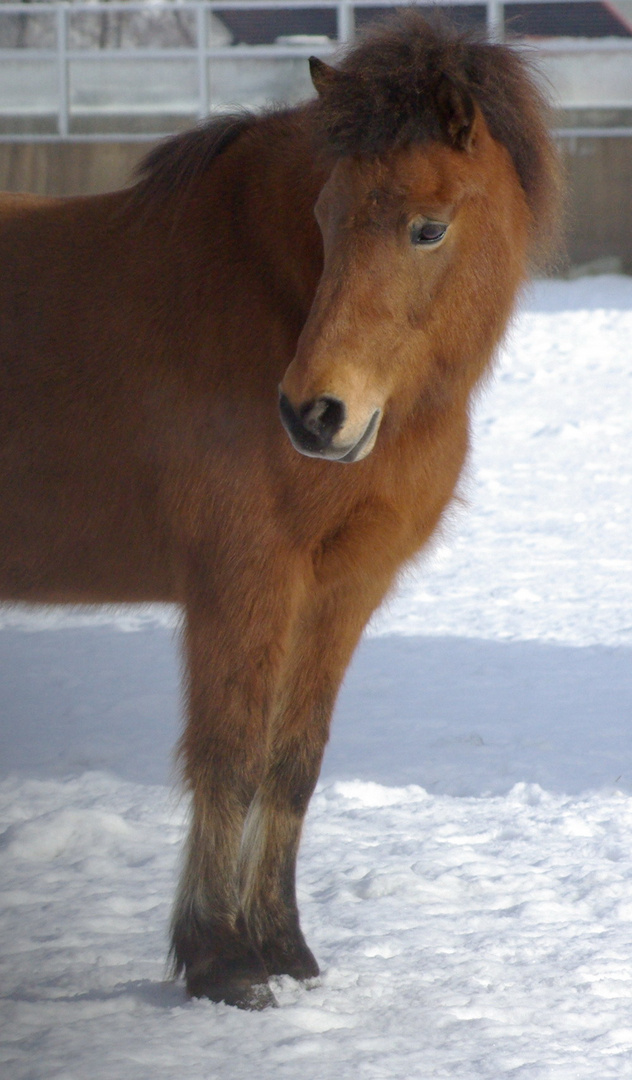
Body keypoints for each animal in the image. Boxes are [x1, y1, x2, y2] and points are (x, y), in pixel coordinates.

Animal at [0, 12, 561, 1006]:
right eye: (327, 218)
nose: (312, 414)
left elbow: (291, 763)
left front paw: (282, 946)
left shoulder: (341, 587)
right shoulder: (242, 577)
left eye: (427, 227)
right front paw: (220, 959)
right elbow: (228, 753)